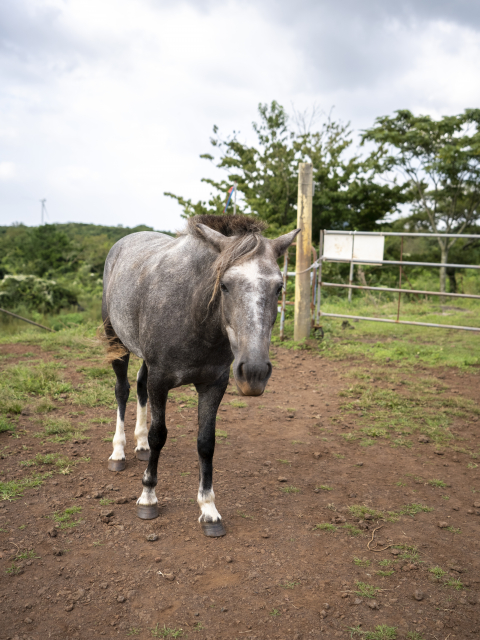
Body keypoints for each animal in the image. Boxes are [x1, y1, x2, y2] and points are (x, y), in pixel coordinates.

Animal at [102, 214, 298, 536]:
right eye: (225, 285)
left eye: (279, 287)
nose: (254, 372)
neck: (193, 313)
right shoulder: (160, 381)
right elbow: (160, 435)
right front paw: (148, 496)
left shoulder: (213, 385)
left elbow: (206, 442)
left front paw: (208, 509)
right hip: (116, 341)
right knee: (123, 390)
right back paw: (118, 452)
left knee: (139, 388)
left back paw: (140, 445)